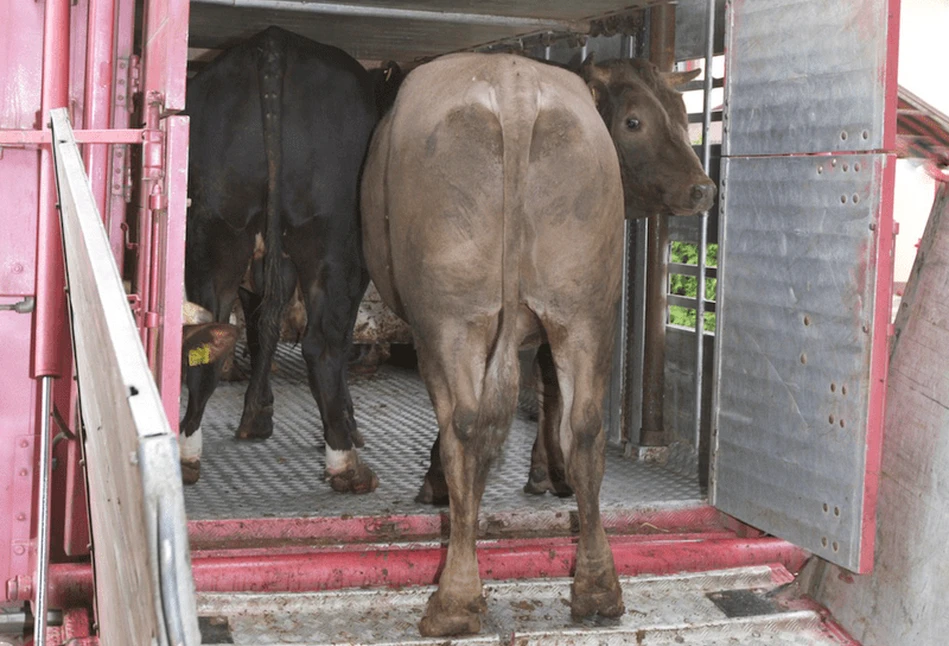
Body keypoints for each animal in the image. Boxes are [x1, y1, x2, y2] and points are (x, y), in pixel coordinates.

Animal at [181, 25, 378, 494]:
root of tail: (274, 41)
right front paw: (345, 420)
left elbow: (261, 330)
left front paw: (256, 414)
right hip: (333, 241)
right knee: (323, 344)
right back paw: (345, 461)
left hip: (214, 233)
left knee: (206, 332)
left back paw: (186, 453)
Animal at [362, 54, 712, 636]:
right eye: (634, 121)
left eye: (685, 116)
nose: (704, 189)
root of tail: (515, 86)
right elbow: (548, 391)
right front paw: (548, 473)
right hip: (584, 309)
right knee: (586, 428)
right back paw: (597, 589)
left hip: (451, 318)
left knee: (464, 427)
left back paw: (454, 600)